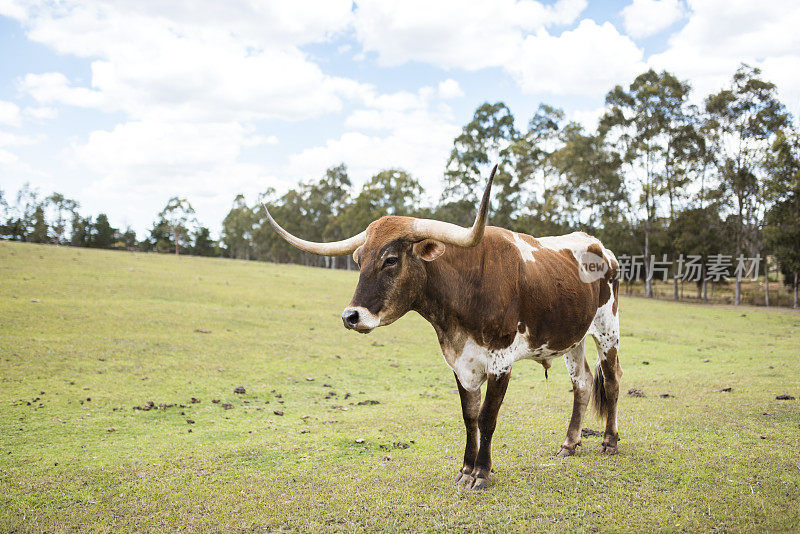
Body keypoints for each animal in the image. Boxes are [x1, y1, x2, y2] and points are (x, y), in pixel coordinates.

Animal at [262, 165, 620, 492]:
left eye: (390, 259)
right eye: (359, 259)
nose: (351, 316)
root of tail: (598, 245)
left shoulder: (501, 361)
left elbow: (487, 417)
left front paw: (481, 473)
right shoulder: (461, 362)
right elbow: (469, 416)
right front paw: (465, 469)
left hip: (607, 330)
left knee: (612, 381)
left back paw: (609, 442)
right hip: (572, 338)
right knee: (582, 383)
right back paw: (569, 444)